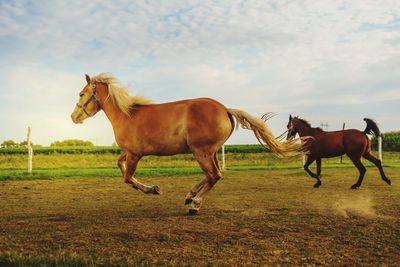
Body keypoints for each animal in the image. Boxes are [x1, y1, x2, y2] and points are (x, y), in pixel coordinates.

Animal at [72, 74, 302, 216]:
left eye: (82, 93)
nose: (74, 117)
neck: (127, 115)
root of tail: (225, 109)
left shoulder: (135, 154)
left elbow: (128, 177)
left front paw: (153, 190)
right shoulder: (128, 152)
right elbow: (120, 166)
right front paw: (155, 189)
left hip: (201, 151)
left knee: (214, 175)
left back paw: (194, 205)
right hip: (210, 152)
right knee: (214, 175)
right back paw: (189, 196)